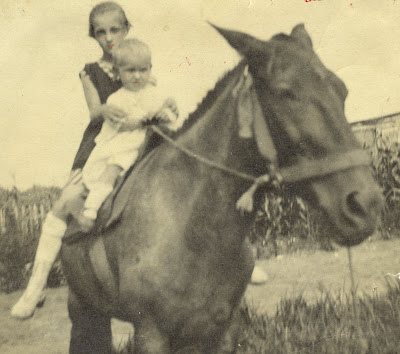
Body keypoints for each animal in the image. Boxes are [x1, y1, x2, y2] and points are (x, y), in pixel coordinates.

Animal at [61, 23, 382, 352]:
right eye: (285, 93)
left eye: (342, 90)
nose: (365, 203)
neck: (193, 227)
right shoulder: (150, 334)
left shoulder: (224, 328)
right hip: (82, 307)